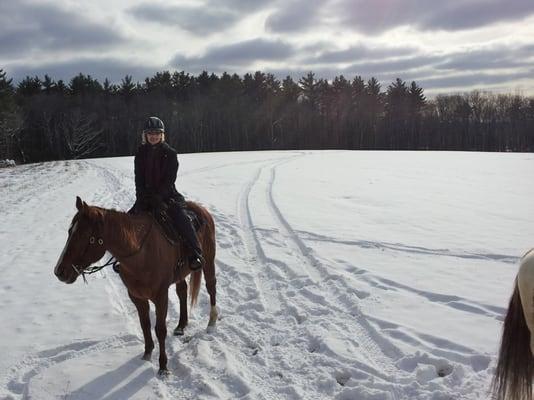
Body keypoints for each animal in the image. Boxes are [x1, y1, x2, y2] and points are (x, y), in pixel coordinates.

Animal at [54, 197, 218, 376]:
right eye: (70, 232)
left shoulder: (161, 297)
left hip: (209, 259)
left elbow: (160, 330)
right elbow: (144, 324)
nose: (59, 271)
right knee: (182, 290)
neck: (141, 255)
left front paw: (163, 366)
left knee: (211, 286)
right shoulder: (136, 296)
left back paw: (211, 322)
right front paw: (146, 355)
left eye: (84, 235)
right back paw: (181, 326)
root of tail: (200, 209)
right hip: (179, 274)